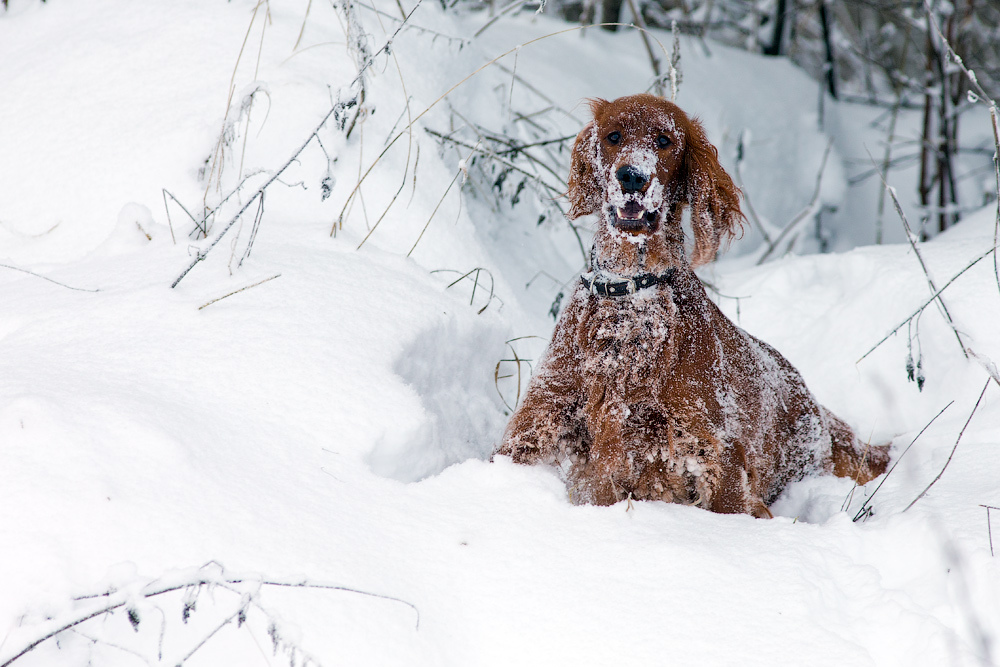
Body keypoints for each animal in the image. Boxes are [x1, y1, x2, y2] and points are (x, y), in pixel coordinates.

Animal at [496, 94, 888, 520]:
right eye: (613, 136)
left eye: (665, 141)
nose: (632, 176)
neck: (632, 291)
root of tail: (812, 402)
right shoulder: (541, 421)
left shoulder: (716, 452)